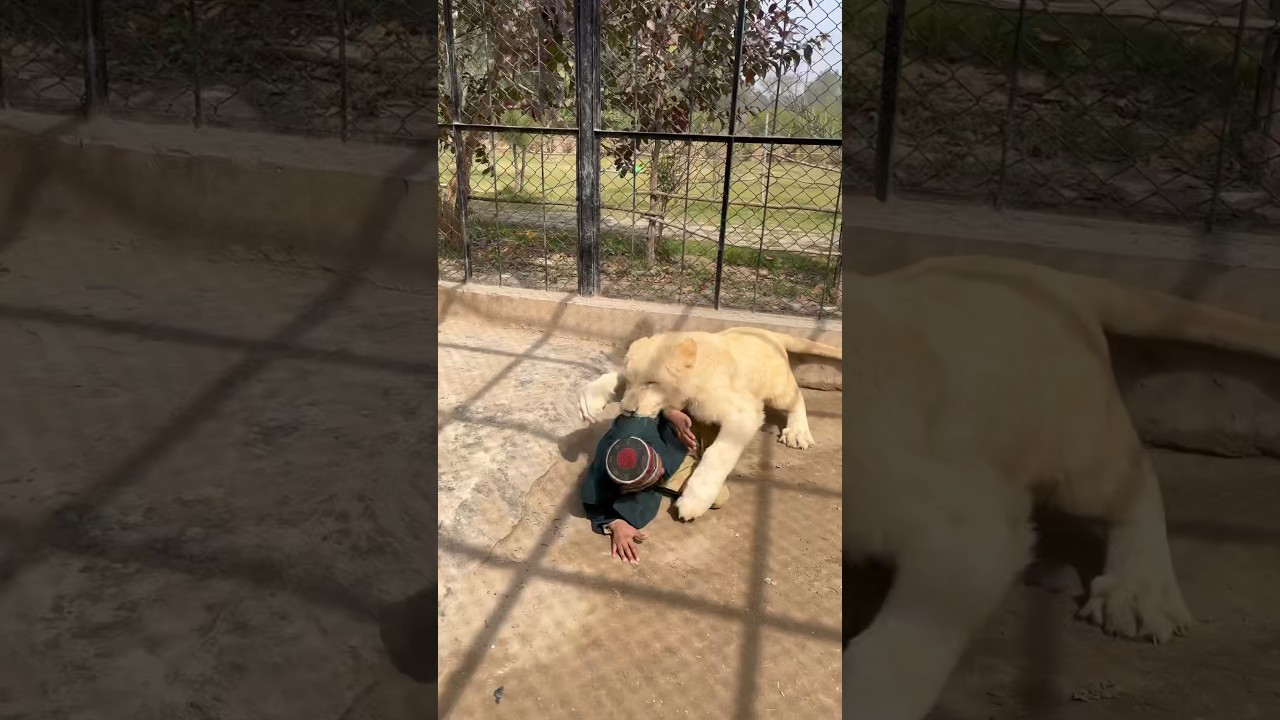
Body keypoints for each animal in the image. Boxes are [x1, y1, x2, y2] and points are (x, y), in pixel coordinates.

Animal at [578, 326, 842, 520]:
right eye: (632, 382)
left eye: (651, 382)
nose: (628, 411)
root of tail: (768, 332)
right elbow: (614, 377)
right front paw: (589, 402)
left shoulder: (743, 413)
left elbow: (718, 454)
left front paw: (693, 501)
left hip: (778, 389)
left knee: (797, 397)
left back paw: (798, 433)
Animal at [844, 255, 1280, 720]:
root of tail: (1050, 277)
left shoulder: (966, 522)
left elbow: (899, 648)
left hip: (1079, 458)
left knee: (1138, 481)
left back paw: (1139, 591)